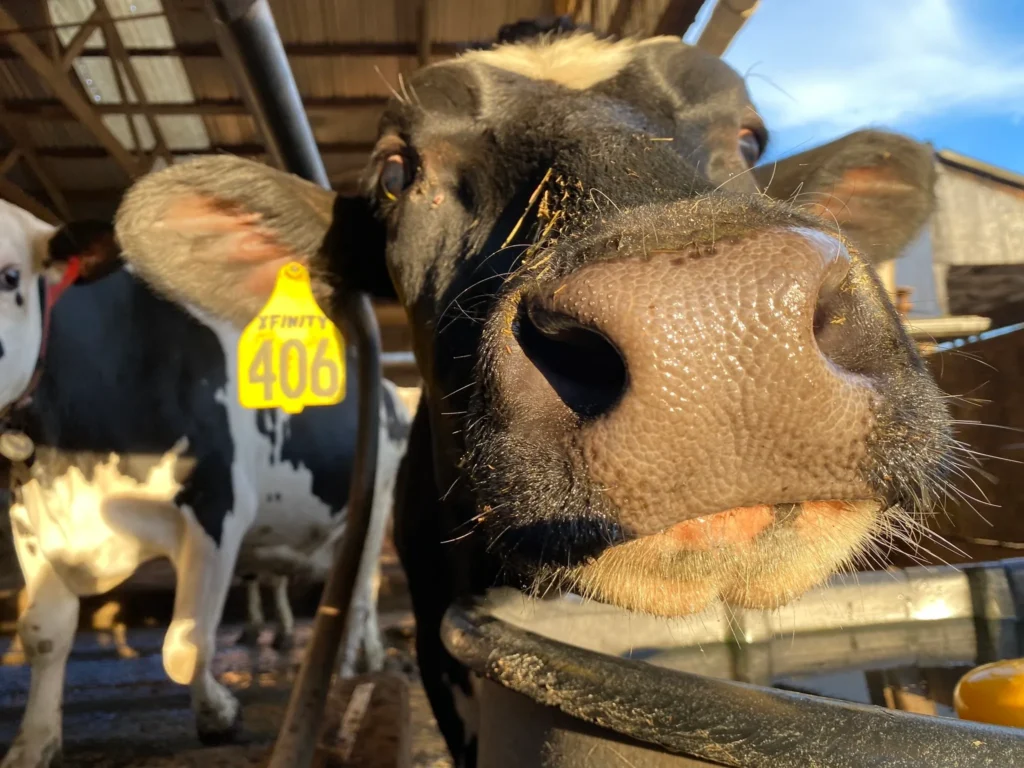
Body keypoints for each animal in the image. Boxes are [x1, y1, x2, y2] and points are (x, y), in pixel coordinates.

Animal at [0, 199, 411, 768]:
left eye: (9, 276)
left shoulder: (217, 509)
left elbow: (185, 642)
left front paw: (219, 714)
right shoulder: (29, 517)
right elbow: (43, 633)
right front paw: (34, 742)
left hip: (375, 503)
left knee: (361, 592)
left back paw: (354, 666)